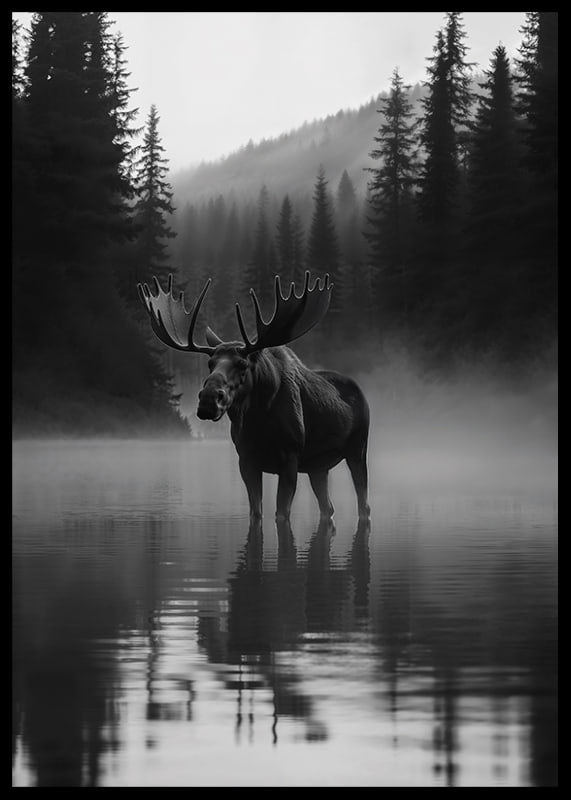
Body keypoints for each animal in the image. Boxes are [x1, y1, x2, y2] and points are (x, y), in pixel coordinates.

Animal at [138, 272, 371, 527]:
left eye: (242, 364)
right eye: (210, 363)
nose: (208, 400)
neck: (257, 420)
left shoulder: (290, 459)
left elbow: (281, 514)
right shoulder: (247, 461)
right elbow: (255, 513)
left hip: (358, 450)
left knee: (363, 504)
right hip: (317, 466)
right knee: (327, 507)